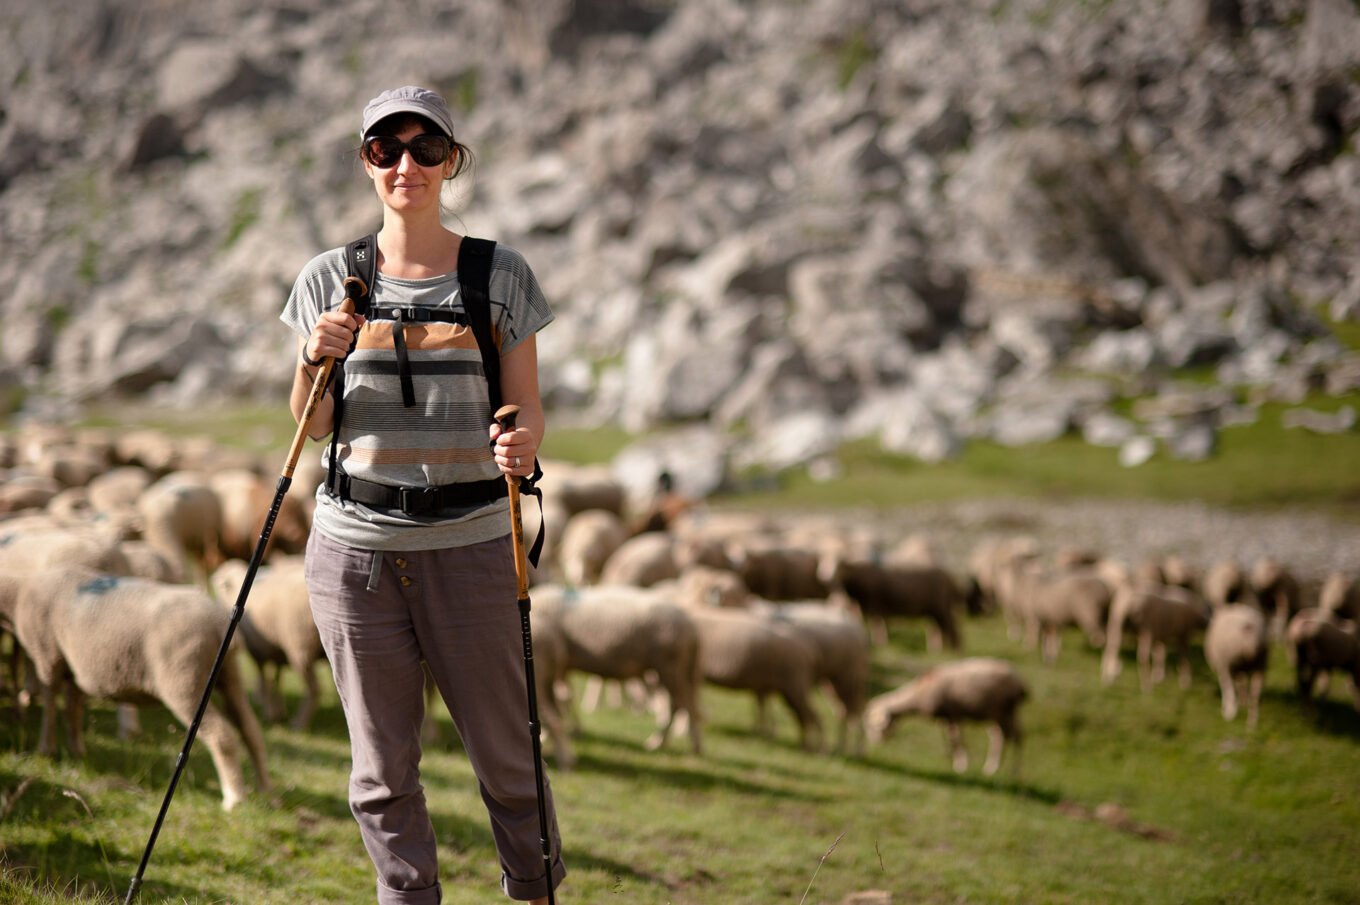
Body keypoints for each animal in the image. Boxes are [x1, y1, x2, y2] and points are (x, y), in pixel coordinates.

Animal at [0, 568, 270, 805]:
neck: (19, 592)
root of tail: (218, 623)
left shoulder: (47, 657)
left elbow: (50, 704)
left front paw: (45, 750)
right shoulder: (74, 670)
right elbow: (72, 709)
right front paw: (77, 751)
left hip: (183, 680)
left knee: (222, 735)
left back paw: (234, 798)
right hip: (228, 675)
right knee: (251, 730)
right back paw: (265, 791)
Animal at [212, 555, 329, 729]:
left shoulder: (257, 650)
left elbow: (264, 679)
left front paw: (269, 710)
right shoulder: (274, 651)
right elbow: (276, 678)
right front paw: (278, 710)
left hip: (301, 649)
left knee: (315, 689)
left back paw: (299, 723)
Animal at [864, 655, 1022, 778]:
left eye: (876, 727)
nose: (875, 744)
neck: (918, 695)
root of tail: (1021, 683)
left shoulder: (952, 714)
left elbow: (956, 740)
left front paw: (960, 765)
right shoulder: (946, 718)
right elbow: (949, 740)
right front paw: (952, 758)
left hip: (1006, 711)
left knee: (1017, 736)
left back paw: (1013, 772)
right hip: (996, 714)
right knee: (999, 737)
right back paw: (992, 768)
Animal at [1207, 598, 1267, 729]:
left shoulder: (1224, 664)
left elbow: (1228, 686)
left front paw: (1229, 709)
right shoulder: (1240, 668)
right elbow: (1241, 683)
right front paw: (1242, 702)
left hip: (1228, 661)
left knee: (1228, 686)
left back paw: (1230, 713)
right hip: (1260, 665)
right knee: (1255, 694)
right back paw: (1251, 724)